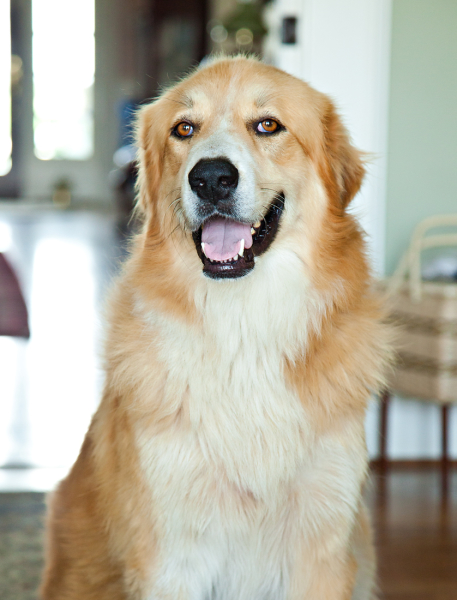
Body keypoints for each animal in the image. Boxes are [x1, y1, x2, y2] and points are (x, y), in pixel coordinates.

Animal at [41, 57, 388, 600]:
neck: (243, 329)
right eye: (184, 129)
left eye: (267, 125)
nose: (210, 178)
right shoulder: (171, 557)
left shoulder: (321, 551)